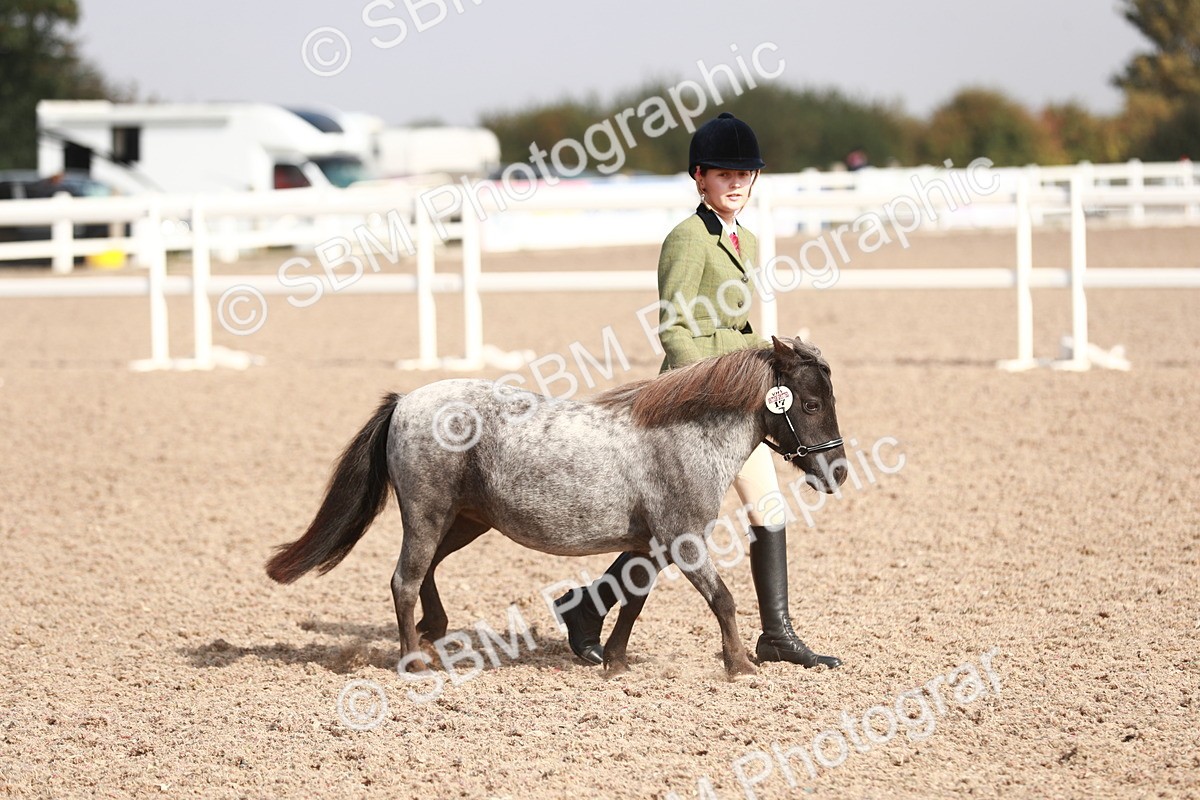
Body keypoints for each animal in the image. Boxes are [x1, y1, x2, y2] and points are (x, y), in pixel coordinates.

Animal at [265, 336, 847, 678]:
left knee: (424, 572)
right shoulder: (683, 543)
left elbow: (632, 601)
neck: (684, 438)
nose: (837, 471)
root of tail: (406, 401)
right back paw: (414, 661)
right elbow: (723, 599)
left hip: (465, 522)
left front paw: (612, 660)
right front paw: (741, 665)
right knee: (404, 580)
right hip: (428, 514)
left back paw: (434, 635)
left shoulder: (651, 546)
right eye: (811, 403)